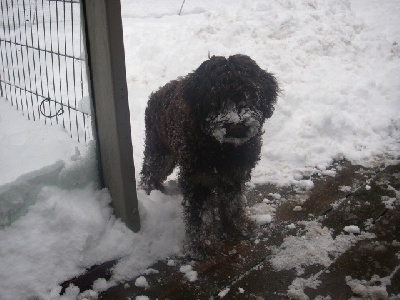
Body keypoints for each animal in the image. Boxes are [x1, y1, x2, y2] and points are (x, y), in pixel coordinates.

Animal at [141, 54, 278, 255]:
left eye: (250, 93)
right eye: (216, 97)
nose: (236, 125)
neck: (222, 148)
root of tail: (157, 93)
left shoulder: (234, 174)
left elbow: (233, 203)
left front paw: (238, 227)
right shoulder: (198, 177)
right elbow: (200, 213)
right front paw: (202, 243)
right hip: (160, 150)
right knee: (150, 172)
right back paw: (150, 192)